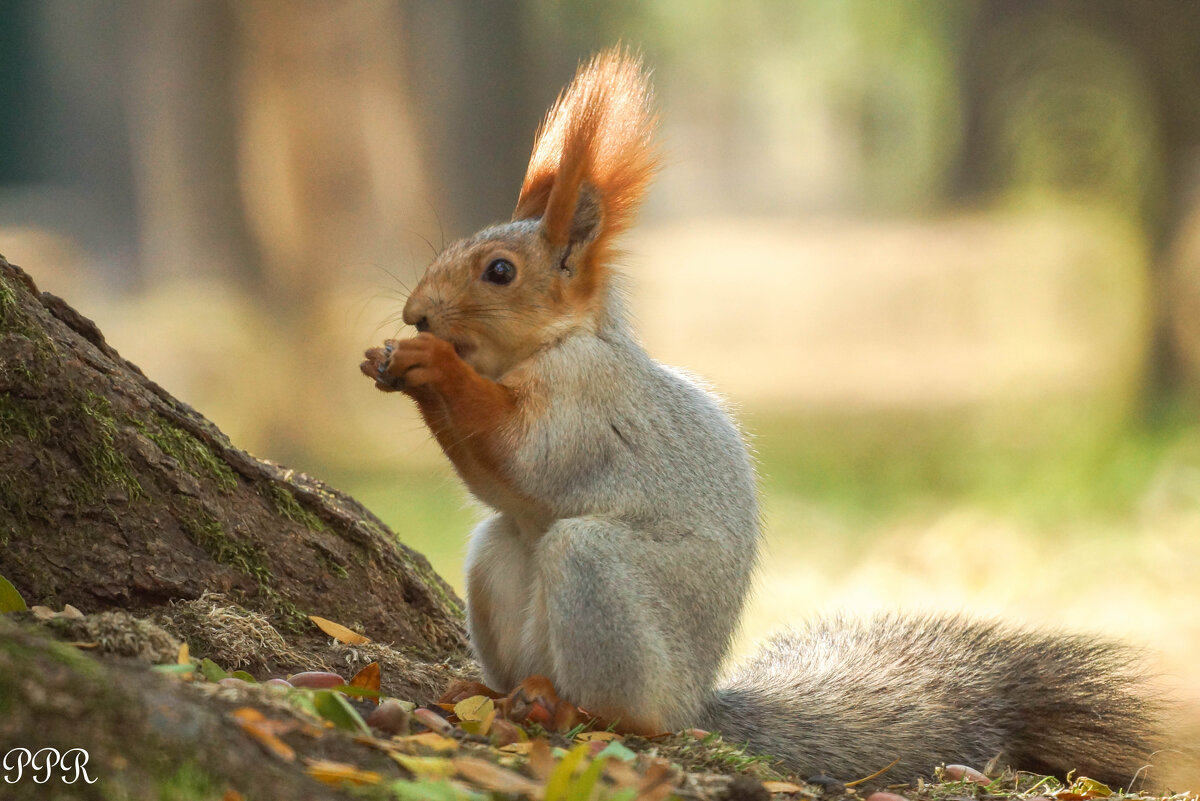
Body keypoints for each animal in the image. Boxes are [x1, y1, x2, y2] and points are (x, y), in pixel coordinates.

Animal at [357, 48, 1161, 786]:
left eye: (499, 271)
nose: (416, 313)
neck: (559, 343)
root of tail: (695, 702)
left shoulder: (591, 400)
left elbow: (527, 455)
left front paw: (430, 364)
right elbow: (496, 484)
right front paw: (388, 359)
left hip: (600, 576)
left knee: (627, 706)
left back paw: (568, 707)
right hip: (498, 557)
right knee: (505, 556)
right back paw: (486, 689)